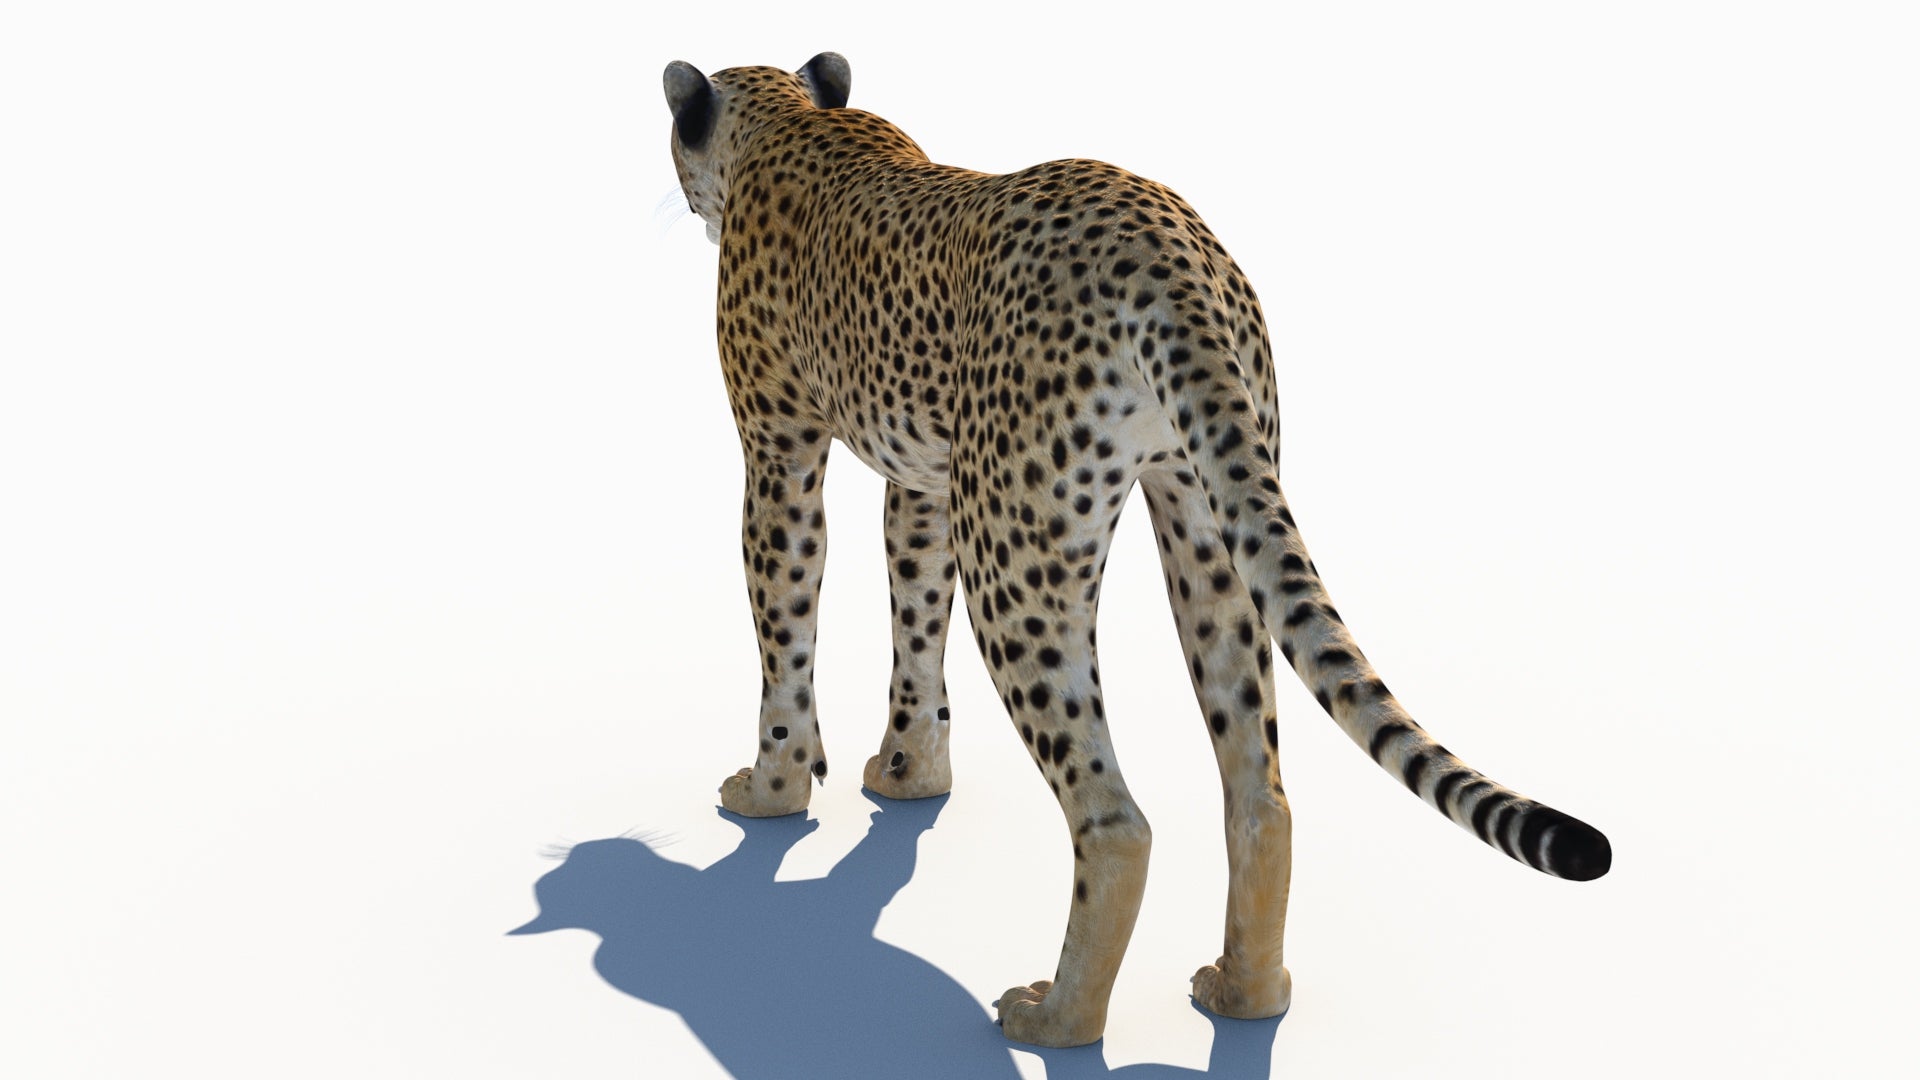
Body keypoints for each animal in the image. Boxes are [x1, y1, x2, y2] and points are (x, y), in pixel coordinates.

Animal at [660, 52, 1610, 1049]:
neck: (789, 118)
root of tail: (1160, 238)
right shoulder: (924, 480)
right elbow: (915, 617)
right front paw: (909, 775)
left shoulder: (783, 456)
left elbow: (785, 631)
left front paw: (773, 788)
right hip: (1208, 520)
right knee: (1259, 792)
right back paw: (1245, 992)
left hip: (1016, 551)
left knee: (1115, 820)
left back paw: (1059, 1016)